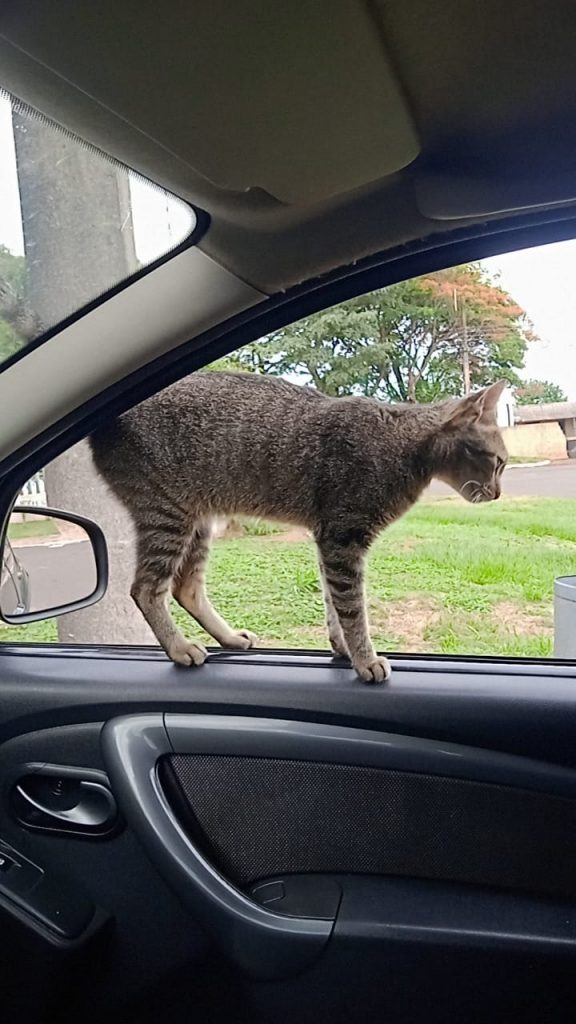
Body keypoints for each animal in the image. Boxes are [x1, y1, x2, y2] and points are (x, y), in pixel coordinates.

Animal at [87, 372, 504, 684]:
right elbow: (352, 609)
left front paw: (342, 647)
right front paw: (365, 659)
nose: (499, 493)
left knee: (186, 588)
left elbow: (334, 605)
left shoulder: (329, 541)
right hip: (167, 515)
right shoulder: (343, 538)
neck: (404, 443)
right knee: (147, 589)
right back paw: (179, 648)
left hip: (197, 521)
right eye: (499, 462)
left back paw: (228, 638)